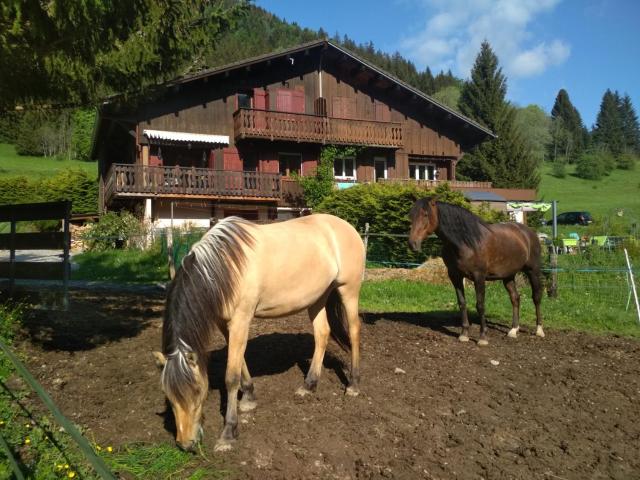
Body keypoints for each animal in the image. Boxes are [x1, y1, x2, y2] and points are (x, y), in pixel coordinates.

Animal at [152, 214, 364, 450]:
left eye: (198, 391)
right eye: (168, 395)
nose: (185, 444)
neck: (224, 268)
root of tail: (346, 226)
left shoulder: (241, 320)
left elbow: (231, 376)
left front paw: (228, 432)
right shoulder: (225, 324)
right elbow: (240, 362)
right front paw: (249, 398)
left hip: (349, 290)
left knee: (354, 331)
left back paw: (353, 384)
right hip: (318, 297)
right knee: (322, 334)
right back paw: (309, 385)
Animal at [410, 198, 544, 344]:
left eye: (425, 215)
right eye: (411, 215)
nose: (412, 243)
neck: (465, 243)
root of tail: (528, 232)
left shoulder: (479, 277)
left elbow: (480, 305)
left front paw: (482, 337)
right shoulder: (455, 276)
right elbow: (462, 303)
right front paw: (464, 334)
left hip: (533, 271)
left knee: (536, 297)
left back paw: (539, 330)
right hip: (508, 275)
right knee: (515, 298)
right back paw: (513, 330)